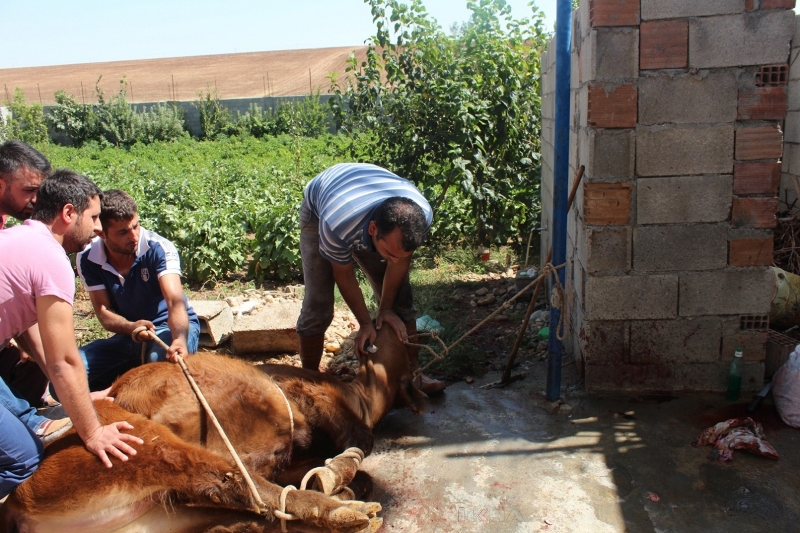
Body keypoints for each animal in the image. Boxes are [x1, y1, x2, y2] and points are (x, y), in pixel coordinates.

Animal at [0, 322, 424, 528]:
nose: (384, 320)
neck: (361, 396)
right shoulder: (309, 392)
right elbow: (360, 442)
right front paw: (336, 475)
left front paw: (332, 476)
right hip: (146, 443)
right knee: (242, 485)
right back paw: (346, 511)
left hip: (156, 512)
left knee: (230, 497)